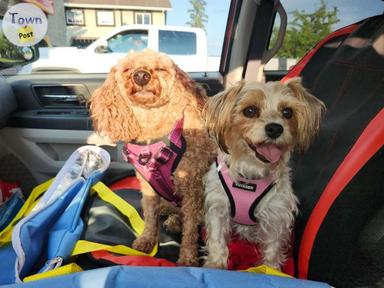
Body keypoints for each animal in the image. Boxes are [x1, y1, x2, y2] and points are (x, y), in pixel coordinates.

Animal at [89, 49, 216, 266]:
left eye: (160, 68)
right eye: (127, 69)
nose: (141, 75)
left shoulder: (192, 187)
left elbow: (191, 229)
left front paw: (188, 259)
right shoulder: (147, 186)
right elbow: (149, 215)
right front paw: (147, 240)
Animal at [202, 77, 326, 268]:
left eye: (287, 112)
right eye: (250, 110)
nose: (275, 128)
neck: (250, 175)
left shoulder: (277, 215)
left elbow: (273, 249)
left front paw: (270, 269)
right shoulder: (218, 207)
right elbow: (217, 242)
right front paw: (216, 265)